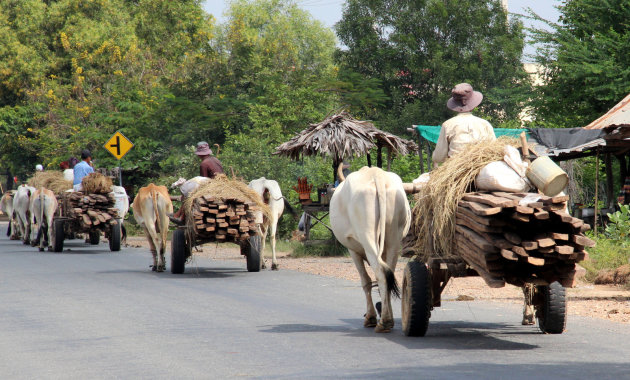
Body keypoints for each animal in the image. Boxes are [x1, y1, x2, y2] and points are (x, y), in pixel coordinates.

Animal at [330, 166, 414, 332]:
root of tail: (377, 175)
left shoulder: (352, 250)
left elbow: (366, 281)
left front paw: (370, 317)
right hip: (394, 239)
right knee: (388, 275)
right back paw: (388, 319)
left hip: (367, 236)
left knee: (380, 274)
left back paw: (384, 322)